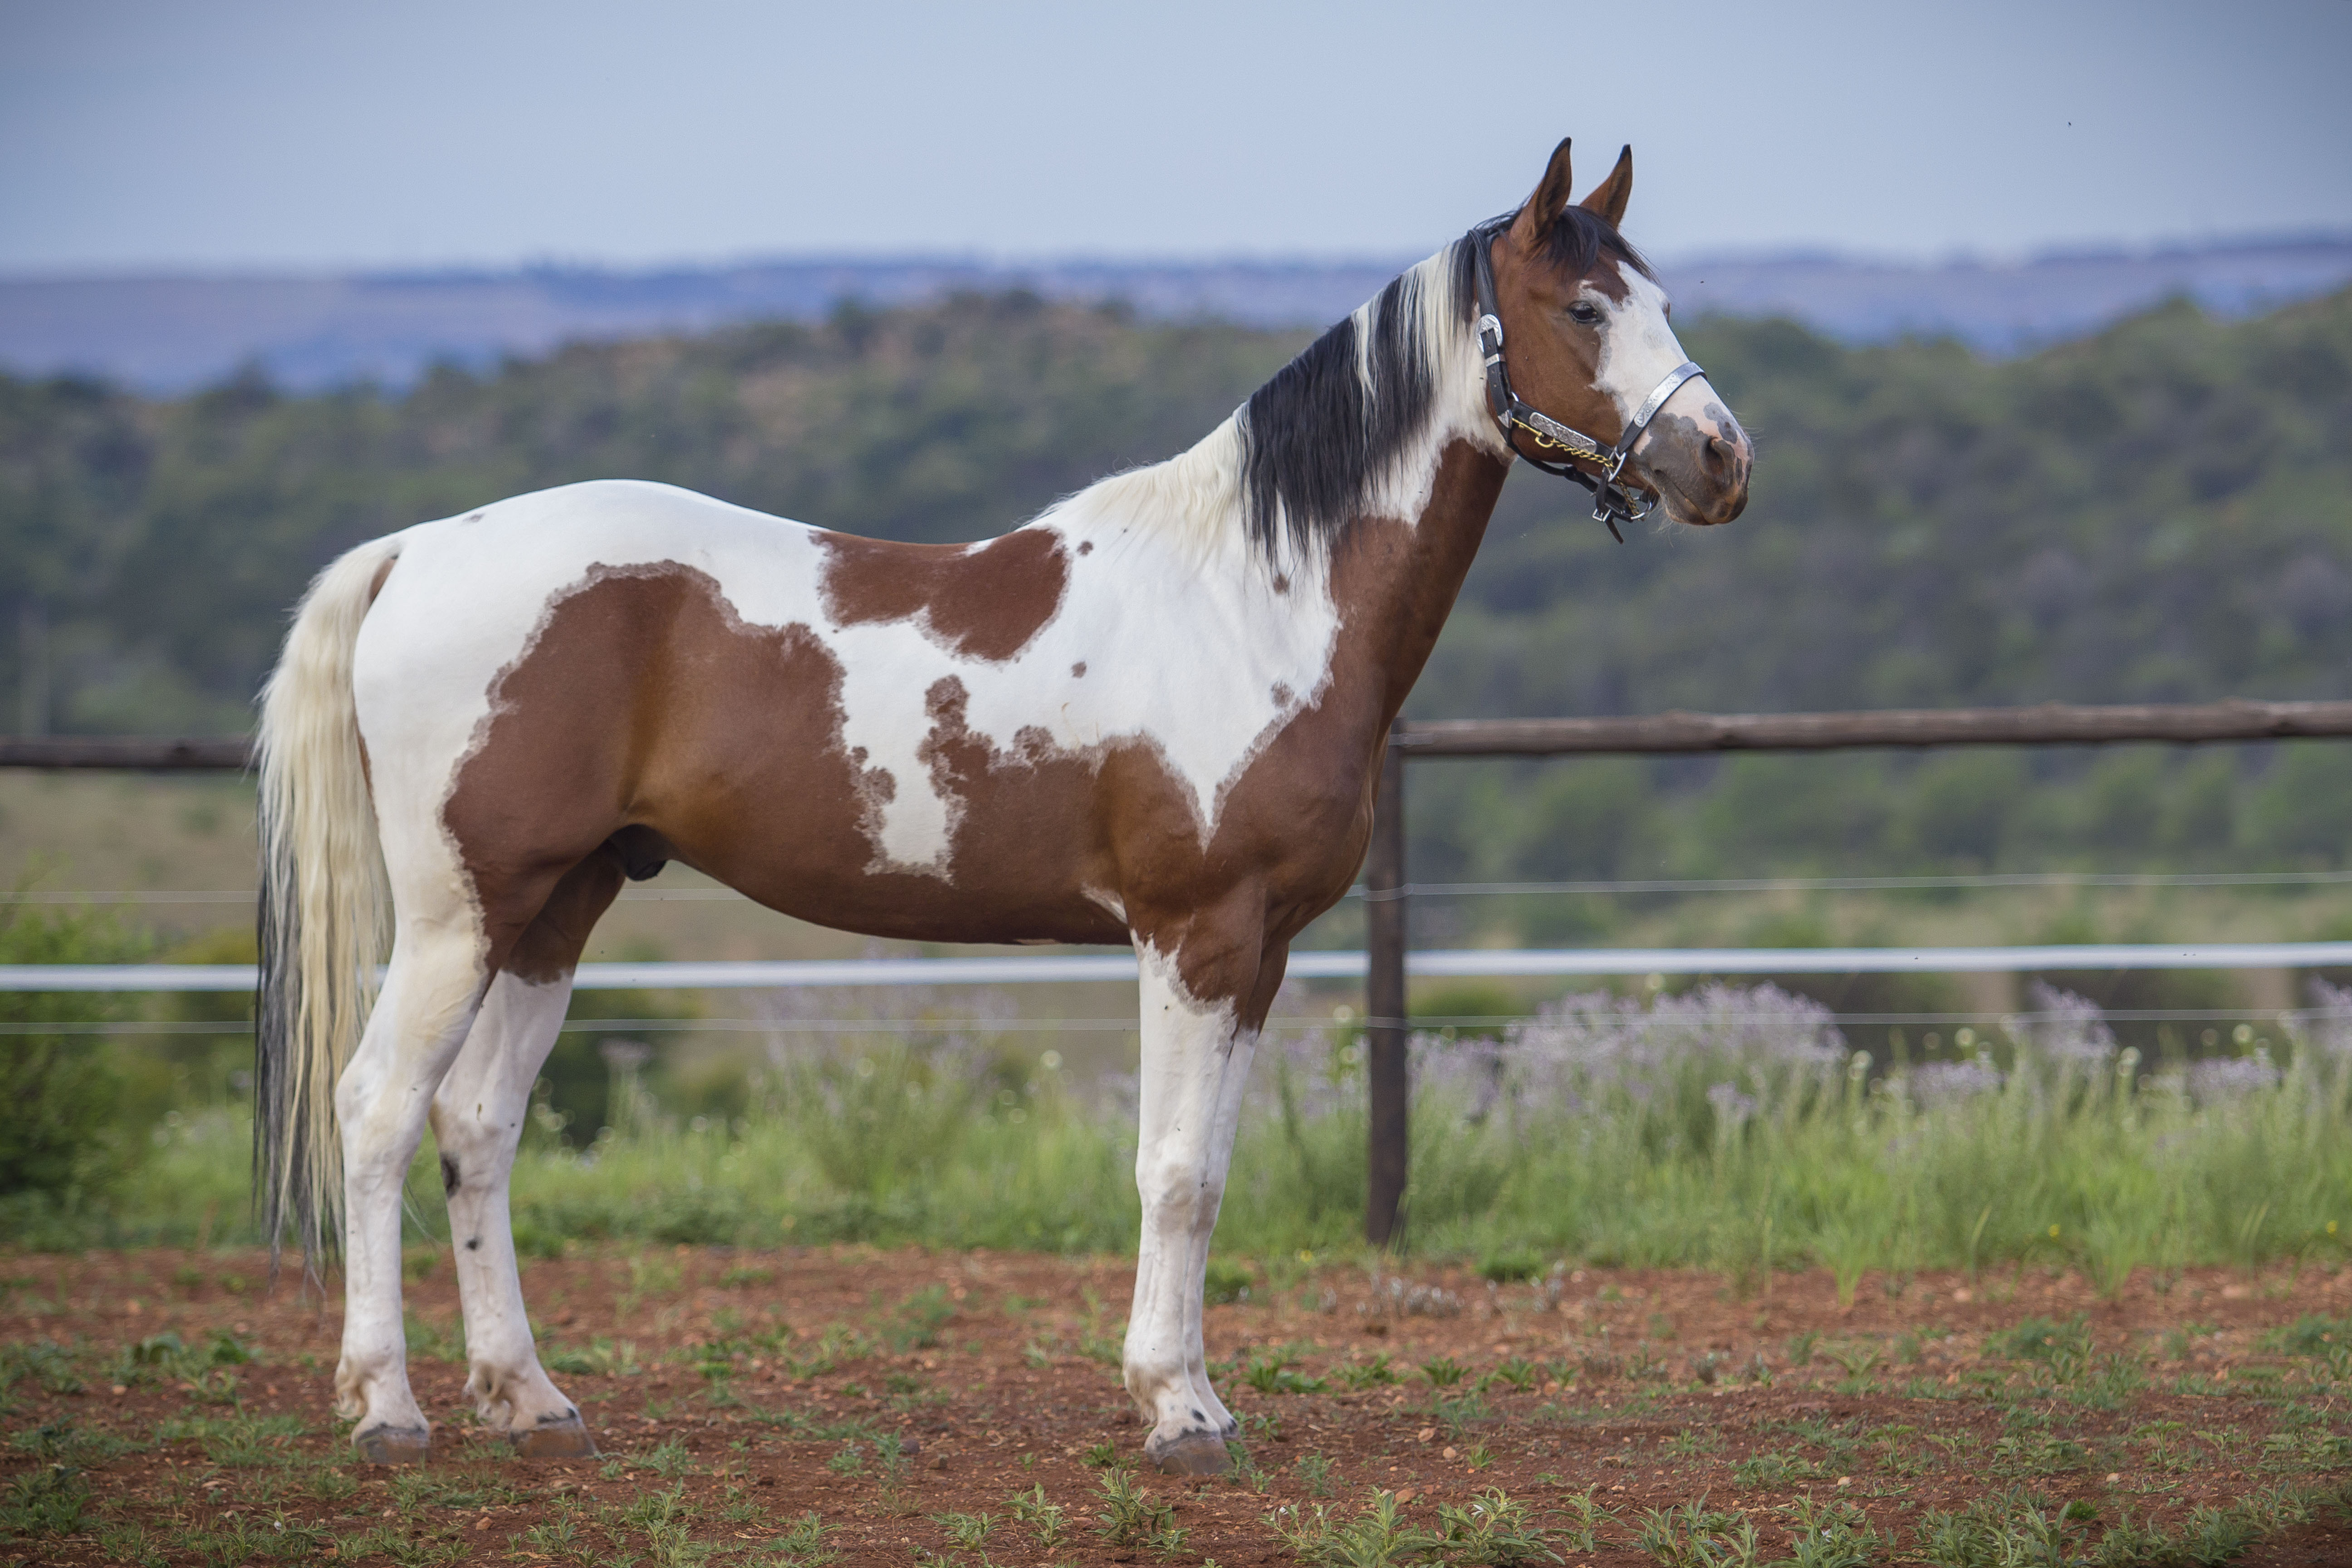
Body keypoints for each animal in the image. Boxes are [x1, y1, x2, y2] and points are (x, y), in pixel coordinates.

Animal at [253, 135, 1749, 1476]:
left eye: (1664, 299)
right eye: (1586, 309)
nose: (1722, 461)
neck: (1253, 599)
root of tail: (418, 552)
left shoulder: (1258, 953)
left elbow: (1210, 1173)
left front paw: (1195, 1399)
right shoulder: (1191, 934)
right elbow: (1172, 1172)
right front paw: (1178, 1416)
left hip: (558, 907)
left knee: (478, 1127)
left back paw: (532, 1402)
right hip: (460, 913)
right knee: (378, 1111)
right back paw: (388, 1411)